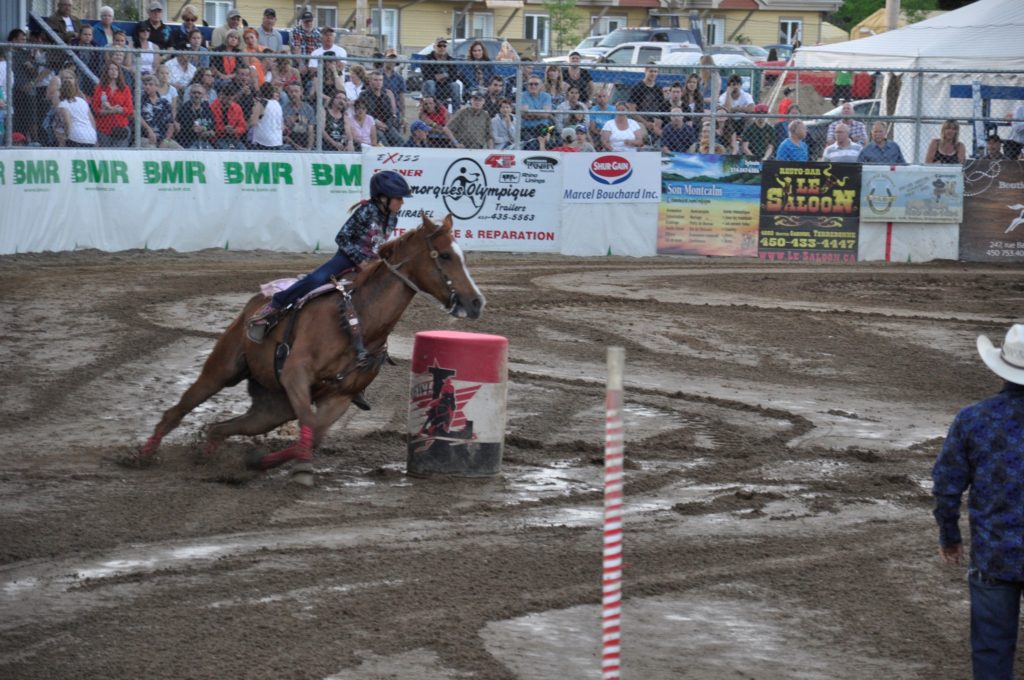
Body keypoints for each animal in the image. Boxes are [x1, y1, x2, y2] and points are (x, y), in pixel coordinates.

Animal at [138, 213, 485, 477]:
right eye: (444, 255)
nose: (476, 302)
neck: (357, 322)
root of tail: (254, 303)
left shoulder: (340, 396)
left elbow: (315, 435)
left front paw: (264, 460)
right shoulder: (296, 375)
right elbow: (308, 421)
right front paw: (300, 469)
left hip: (271, 409)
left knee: (220, 427)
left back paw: (209, 455)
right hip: (221, 370)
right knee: (177, 411)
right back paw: (143, 454)